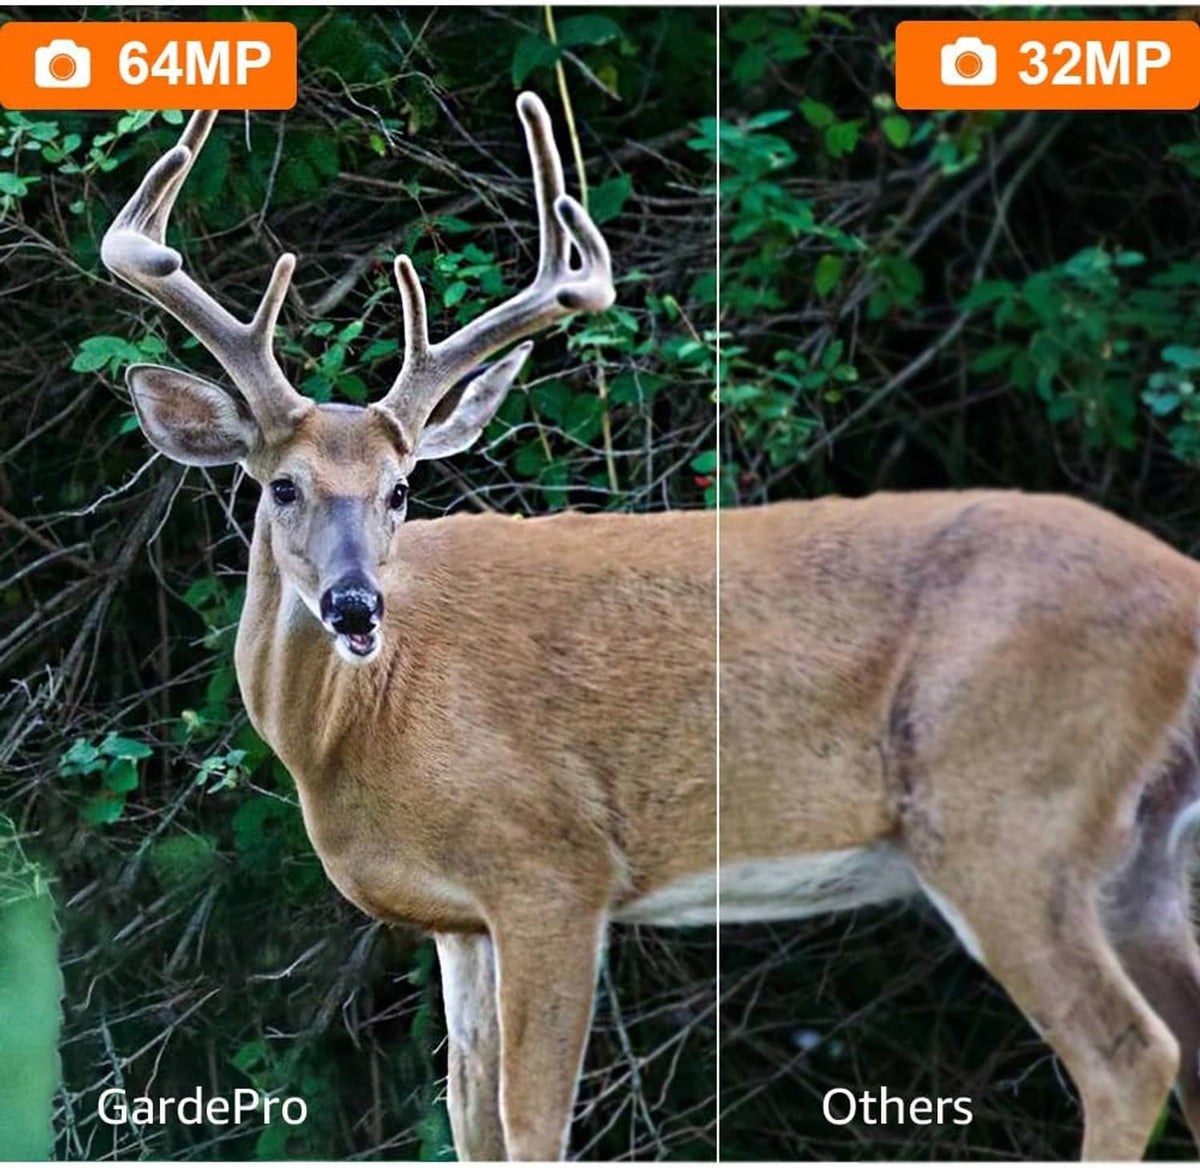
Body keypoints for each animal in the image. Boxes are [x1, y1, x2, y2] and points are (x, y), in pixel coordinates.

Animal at [100, 96, 716, 1161]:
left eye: (400, 490)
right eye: (281, 484)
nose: (355, 606)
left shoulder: (544, 875)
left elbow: (523, 1122)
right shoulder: (458, 921)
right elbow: (469, 1116)